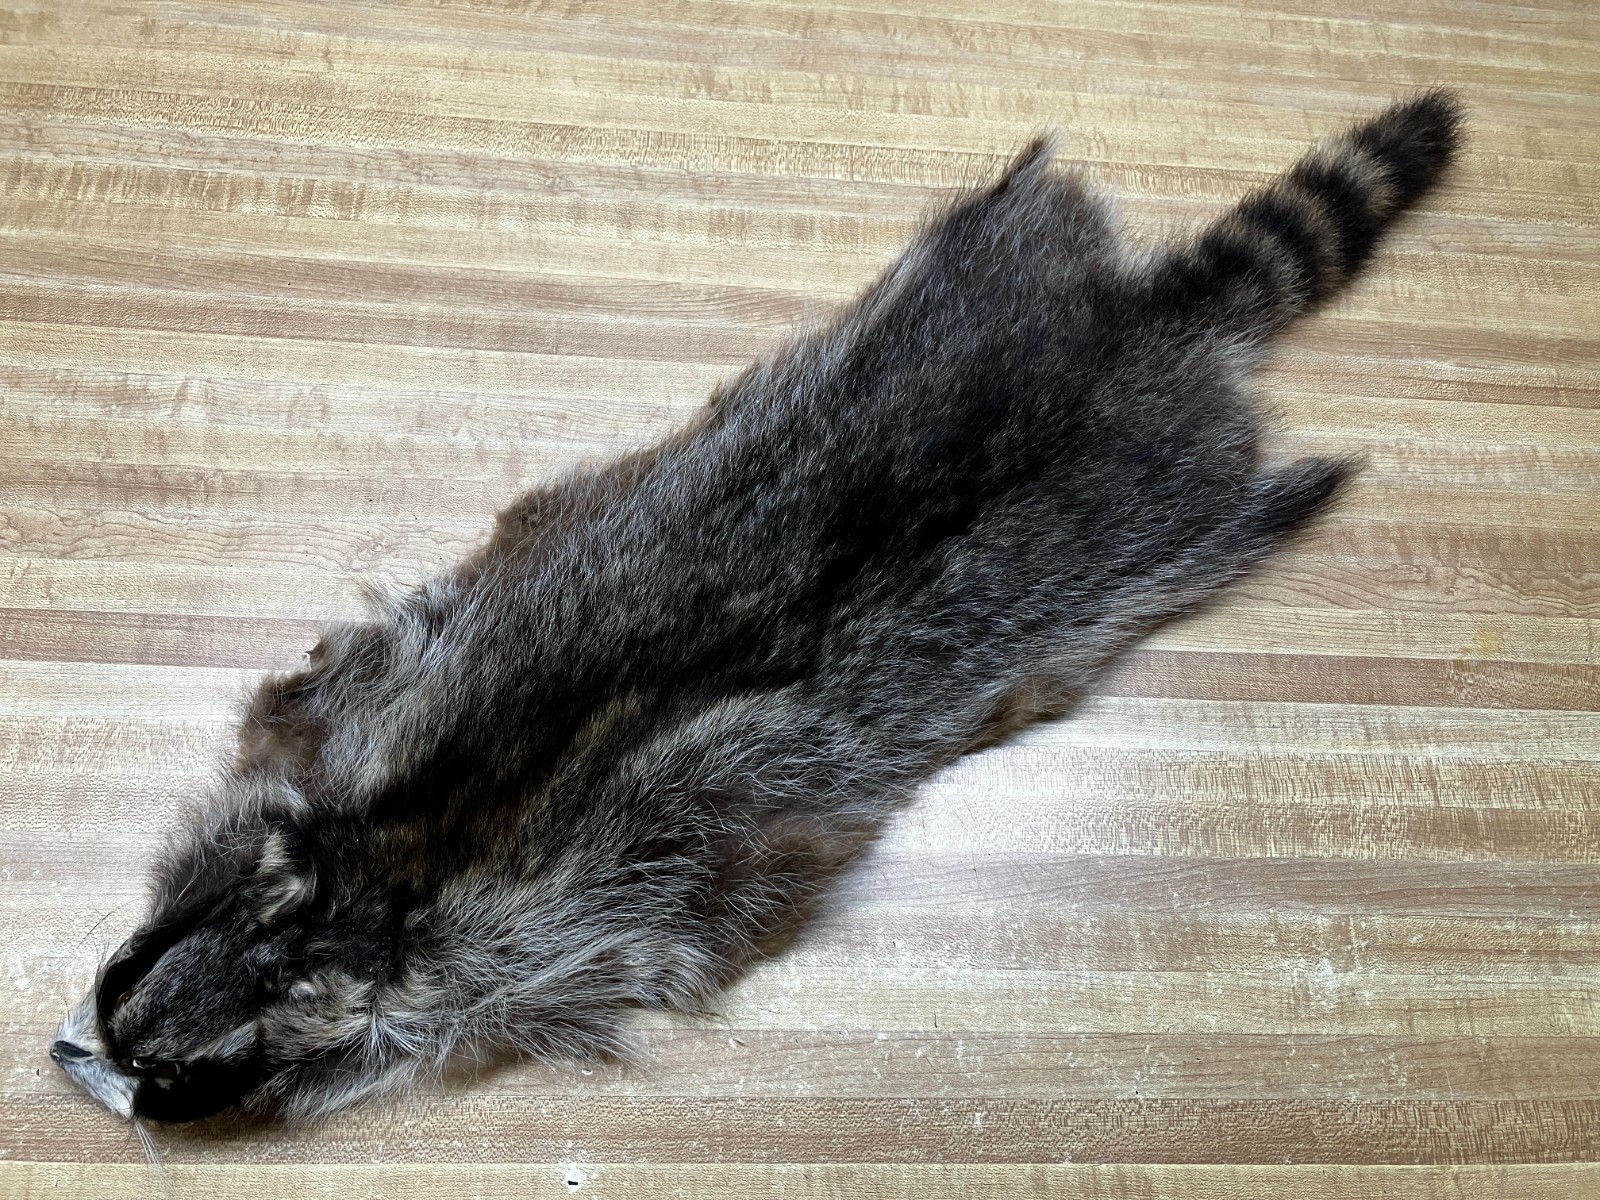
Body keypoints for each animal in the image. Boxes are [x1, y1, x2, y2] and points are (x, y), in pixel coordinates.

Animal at [52, 92, 1462, 1125]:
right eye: (125, 976)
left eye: (178, 1075)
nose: (77, 1055)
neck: (366, 892)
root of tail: (1138, 330)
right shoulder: (373, 710)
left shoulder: (531, 938)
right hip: (941, 309)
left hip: (1147, 537)